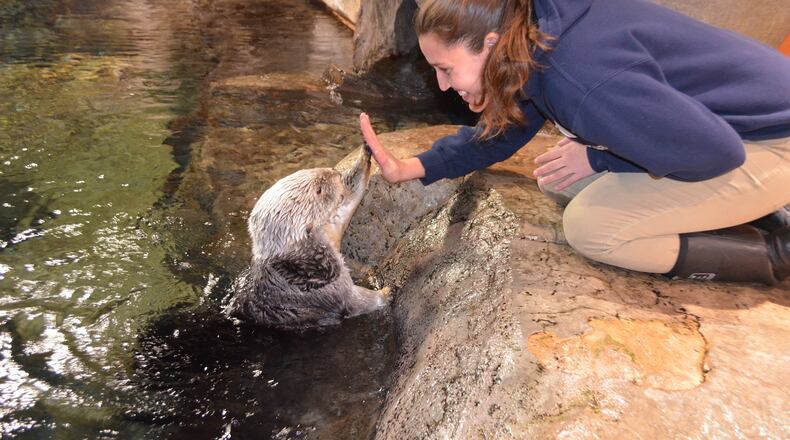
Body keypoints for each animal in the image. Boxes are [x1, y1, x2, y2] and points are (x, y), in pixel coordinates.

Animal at [225, 144, 389, 331]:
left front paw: (365, 151)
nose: (334, 172)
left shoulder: (330, 224)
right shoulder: (330, 290)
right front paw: (387, 291)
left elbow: (348, 200)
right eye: (319, 190)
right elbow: (357, 302)